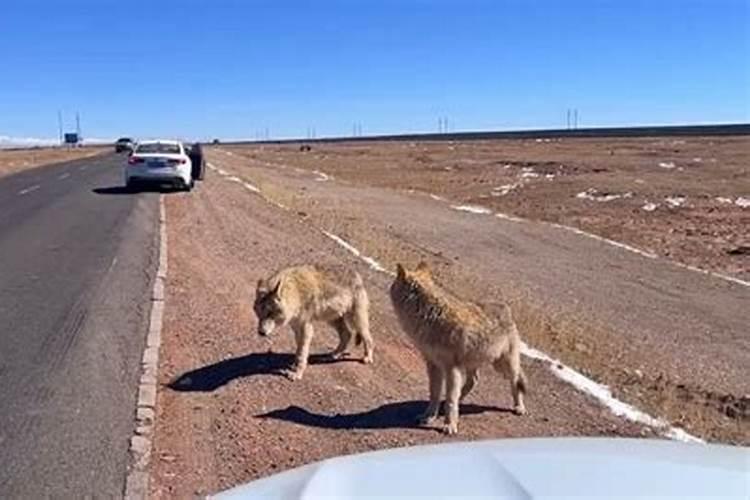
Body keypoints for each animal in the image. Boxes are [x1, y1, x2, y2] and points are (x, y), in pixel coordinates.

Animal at [390, 262, 524, 434]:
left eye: (393, 285)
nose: (389, 288)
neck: (430, 314)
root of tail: (506, 307)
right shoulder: (433, 364)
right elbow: (435, 394)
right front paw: (429, 417)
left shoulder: (451, 368)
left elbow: (450, 399)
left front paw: (450, 425)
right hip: (473, 364)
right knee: (473, 380)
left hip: (502, 366)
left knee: (516, 380)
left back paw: (519, 407)